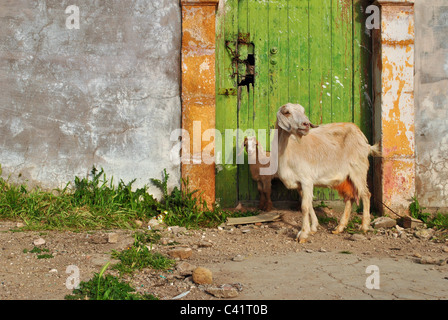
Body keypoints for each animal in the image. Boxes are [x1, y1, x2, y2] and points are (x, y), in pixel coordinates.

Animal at [274, 102, 380, 242]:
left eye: (303, 111)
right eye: (287, 112)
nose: (306, 124)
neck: (288, 151)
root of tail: (365, 141)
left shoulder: (306, 180)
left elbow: (304, 207)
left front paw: (303, 234)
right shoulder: (300, 185)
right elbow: (309, 204)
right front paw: (313, 227)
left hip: (358, 169)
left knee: (365, 194)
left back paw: (364, 226)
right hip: (346, 177)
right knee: (349, 198)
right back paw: (339, 228)